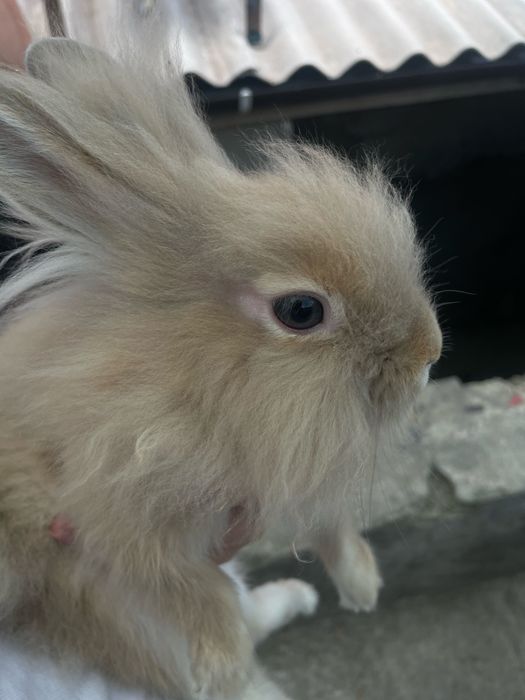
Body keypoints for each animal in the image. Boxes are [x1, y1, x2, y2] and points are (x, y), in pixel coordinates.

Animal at [0, 33, 442, 700]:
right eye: (302, 310)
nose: (429, 355)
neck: (195, 374)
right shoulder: (118, 524)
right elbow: (193, 591)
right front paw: (221, 663)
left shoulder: (290, 469)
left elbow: (332, 527)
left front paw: (362, 587)